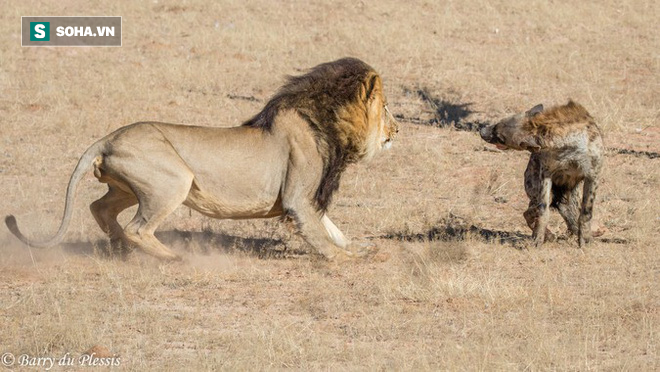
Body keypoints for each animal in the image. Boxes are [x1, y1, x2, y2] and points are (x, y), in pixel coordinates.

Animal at [5, 58, 400, 262]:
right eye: (386, 108)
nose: (396, 130)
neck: (324, 120)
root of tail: (105, 138)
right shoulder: (297, 198)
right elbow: (319, 233)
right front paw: (346, 260)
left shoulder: (308, 199)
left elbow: (332, 228)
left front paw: (358, 247)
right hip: (173, 180)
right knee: (138, 227)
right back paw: (171, 257)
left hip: (131, 187)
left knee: (99, 208)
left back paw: (121, 249)